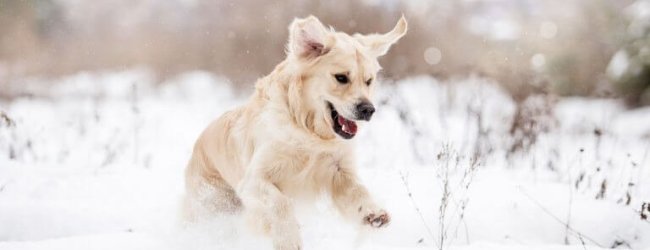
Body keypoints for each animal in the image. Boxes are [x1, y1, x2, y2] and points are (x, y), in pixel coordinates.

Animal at [181, 15, 404, 250]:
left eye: (369, 81)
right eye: (341, 77)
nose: (368, 109)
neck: (310, 132)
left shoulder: (339, 171)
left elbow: (358, 191)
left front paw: (373, 213)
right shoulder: (253, 180)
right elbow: (281, 201)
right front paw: (288, 238)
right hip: (211, 204)